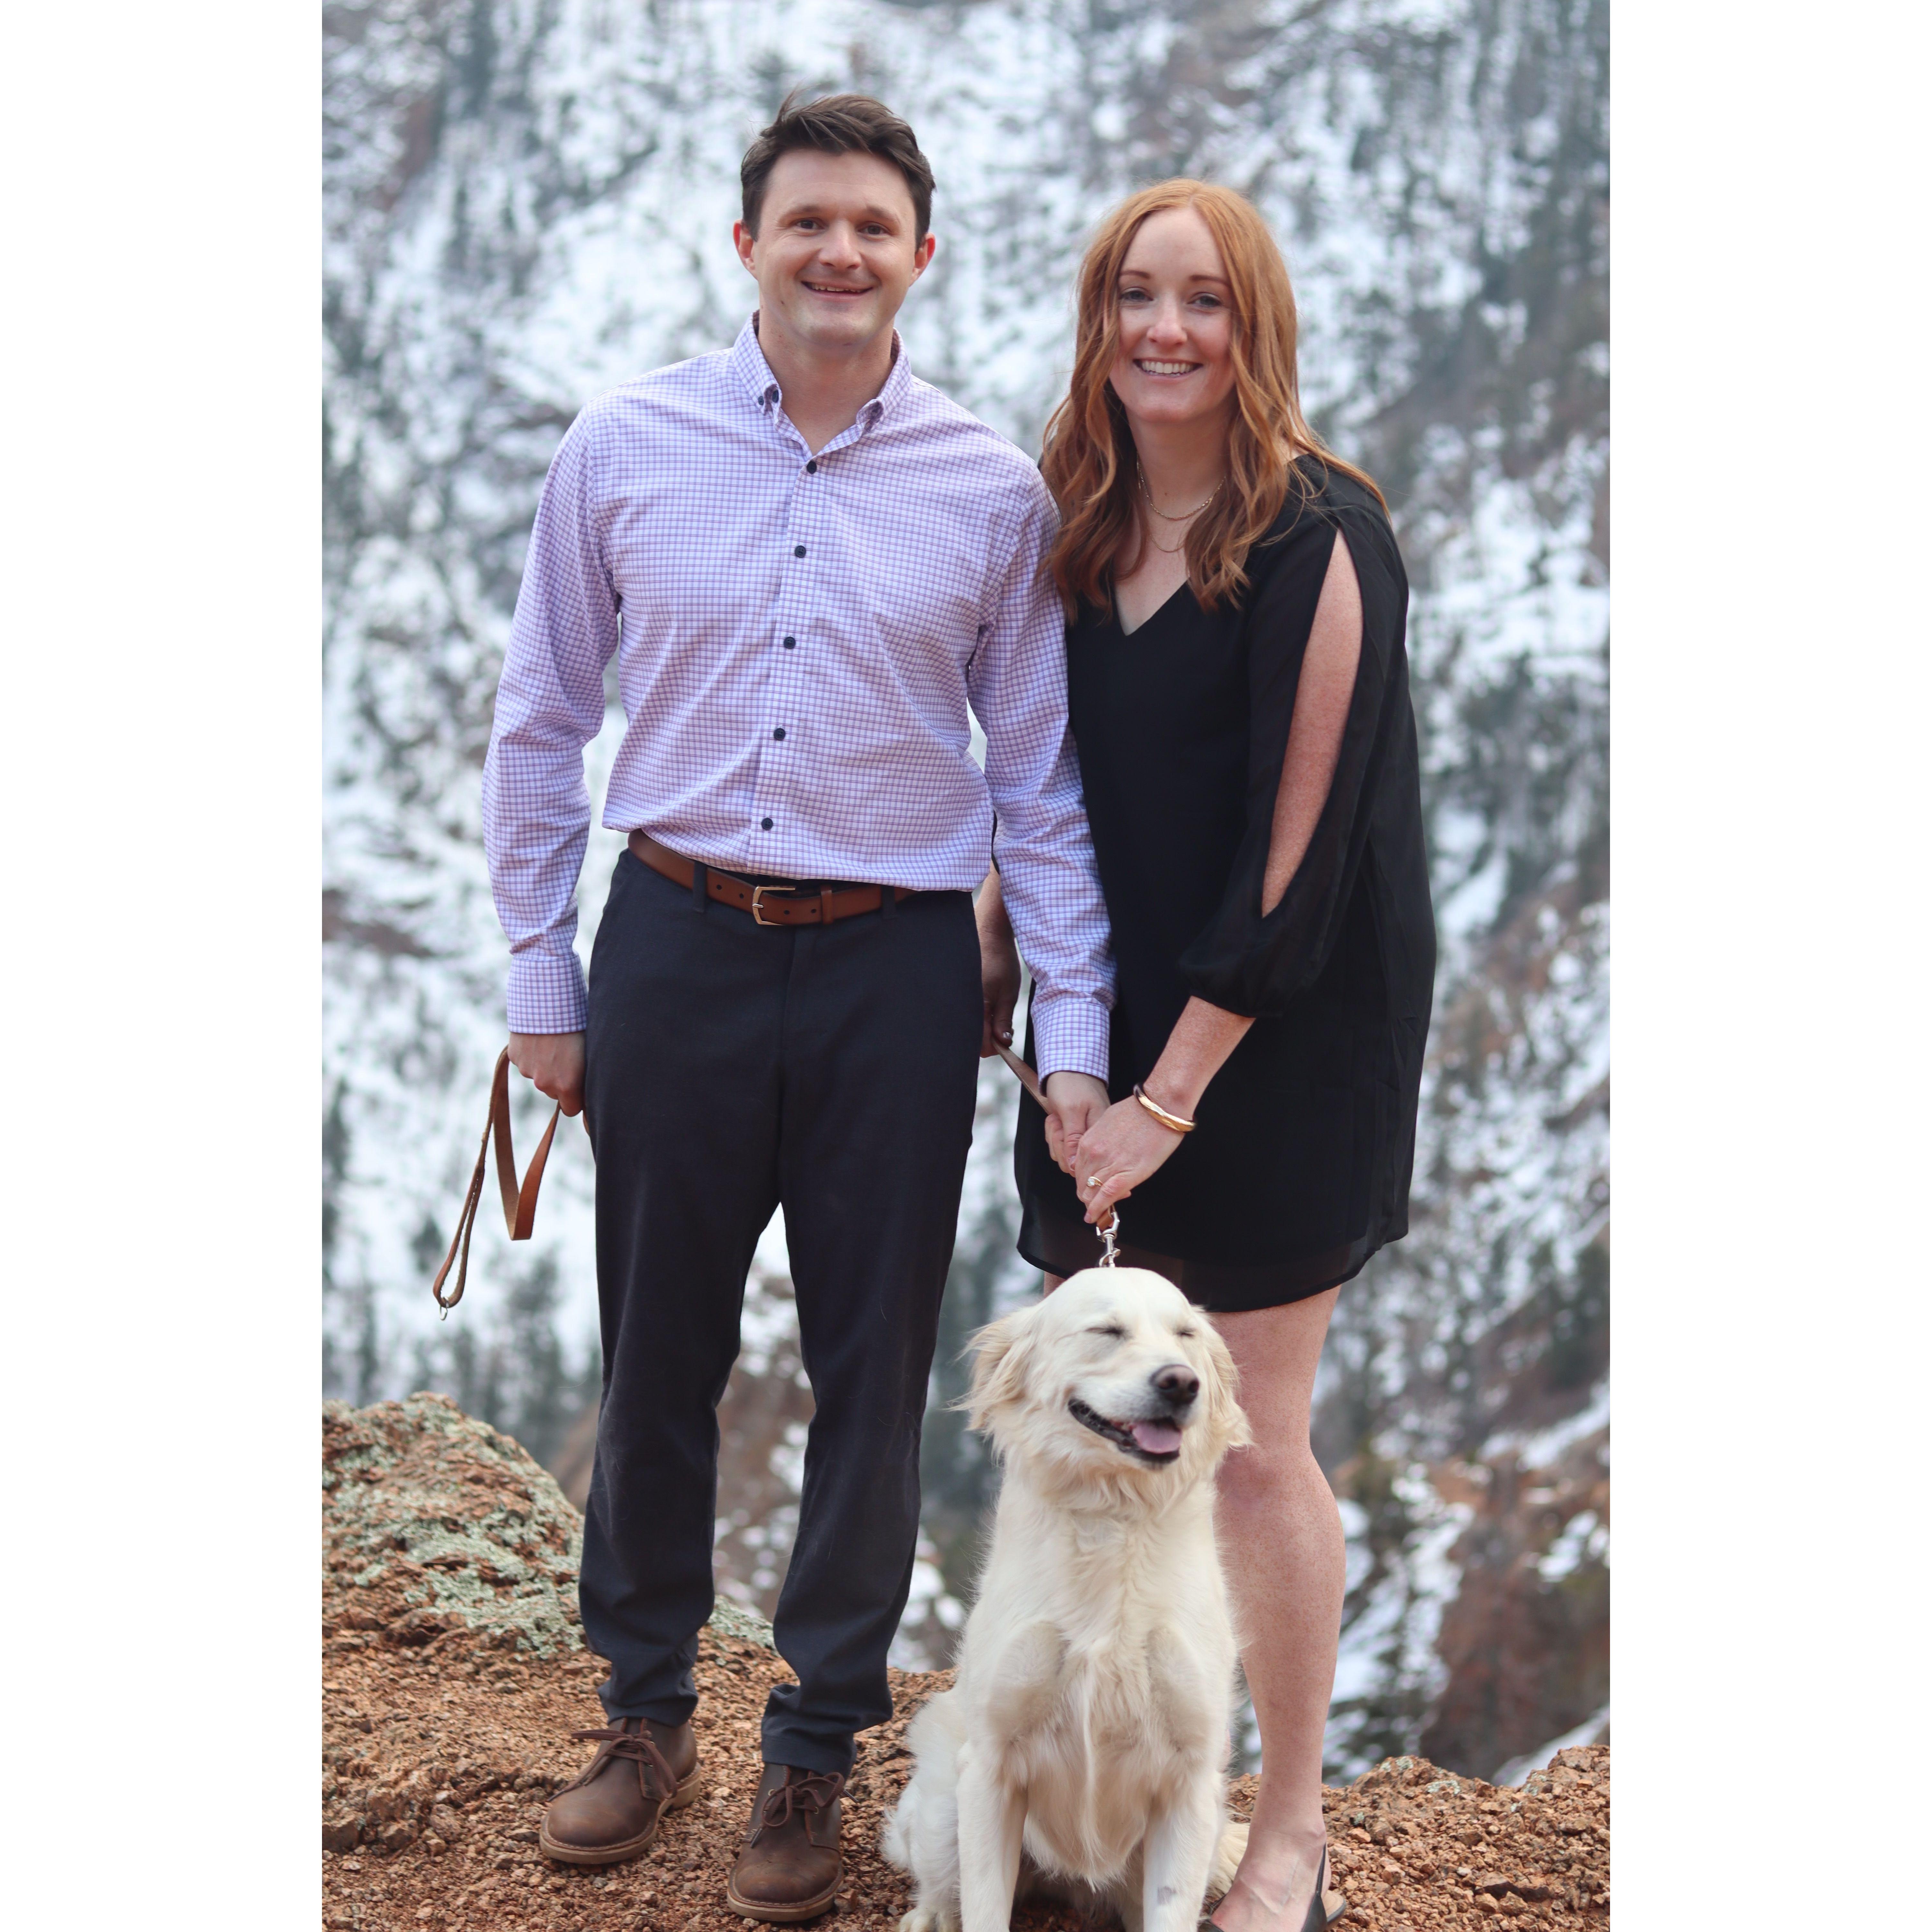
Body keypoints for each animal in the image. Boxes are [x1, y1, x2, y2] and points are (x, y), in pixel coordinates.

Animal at [882, 1265, 1253, 1932]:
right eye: (1107, 1331)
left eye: (1185, 1335)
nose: (1180, 1383)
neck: (1111, 1520)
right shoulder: (991, 1769)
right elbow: (984, 1909)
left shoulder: (1190, 1784)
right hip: (946, 1809)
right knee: (941, 1883)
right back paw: (930, 1915)